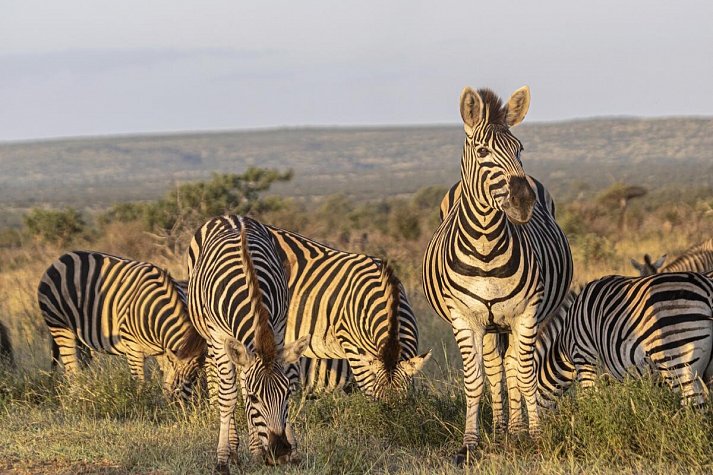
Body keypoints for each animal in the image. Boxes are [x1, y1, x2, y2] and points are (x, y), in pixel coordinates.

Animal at [37, 251, 205, 401]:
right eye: (190, 380)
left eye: (198, 378)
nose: (190, 410)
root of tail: (60, 259)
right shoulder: (133, 348)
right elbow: (140, 384)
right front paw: (141, 407)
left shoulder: (162, 352)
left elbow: (166, 382)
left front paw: (164, 405)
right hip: (59, 326)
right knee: (72, 371)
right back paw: (77, 399)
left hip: (80, 337)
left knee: (81, 364)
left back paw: (87, 392)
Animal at [187, 215, 310, 471]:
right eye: (255, 399)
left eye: (287, 395)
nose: (279, 452)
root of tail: (229, 215)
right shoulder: (219, 335)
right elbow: (228, 396)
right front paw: (222, 459)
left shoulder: (279, 328)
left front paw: (273, 451)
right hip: (210, 339)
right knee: (221, 384)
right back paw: (233, 449)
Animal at [422, 86, 573, 464]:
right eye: (482, 151)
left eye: (520, 149)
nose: (523, 201)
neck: (486, 245)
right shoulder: (464, 317)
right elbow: (475, 380)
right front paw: (469, 444)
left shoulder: (527, 313)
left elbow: (525, 374)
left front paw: (534, 437)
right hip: (488, 325)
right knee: (494, 367)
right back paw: (501, 428)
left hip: (510, 321)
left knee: (512, 366)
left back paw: (514, 432)